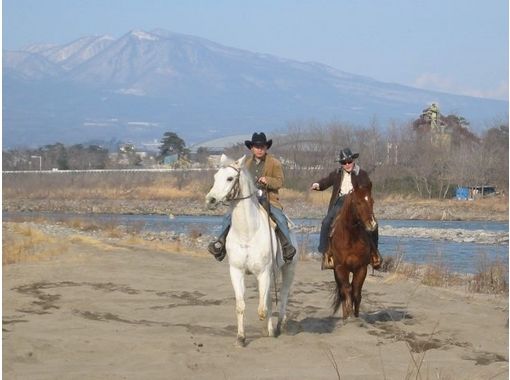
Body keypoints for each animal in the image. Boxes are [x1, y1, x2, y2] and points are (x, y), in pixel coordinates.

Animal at [204, 153, 296, 346]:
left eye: (230, 178)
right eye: (215, 177)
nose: (210, 200)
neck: (247, 232)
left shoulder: (264, 272)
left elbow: (263, 307)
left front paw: (267, 326)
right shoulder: (237, 271)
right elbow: (241, 306)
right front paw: (241, 337)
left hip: (288, 269)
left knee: (283, 296)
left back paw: (278, 327)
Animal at [328, 180, 376, 318]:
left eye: (372, 201)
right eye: (358, 202)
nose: (372, 224)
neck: (350, 238)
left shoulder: (361, 268)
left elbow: (356, 292)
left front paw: (355, 316)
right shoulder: (340, 268)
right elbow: (347, 290)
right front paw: (348, 313)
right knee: (342, 292)